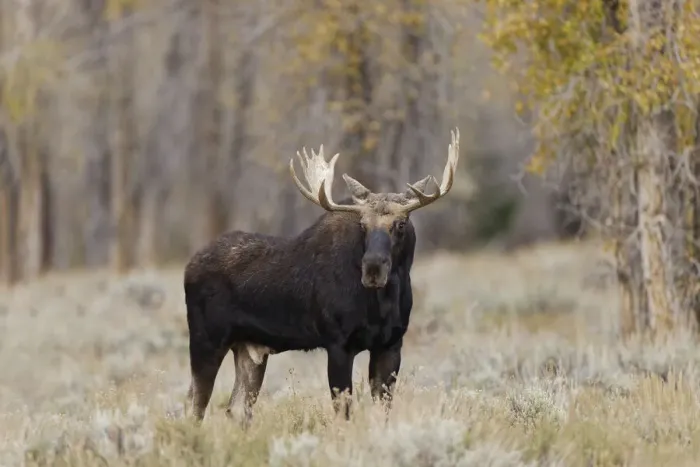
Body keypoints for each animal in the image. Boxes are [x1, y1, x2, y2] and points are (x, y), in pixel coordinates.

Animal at [184, 128, 461, 425]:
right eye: (363, 225)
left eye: (400, 224)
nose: (373, 268)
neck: (382, 302)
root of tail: (188, 267)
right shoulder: (338, 343)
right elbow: (343, 411)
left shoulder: (391, 344)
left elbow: (382, 411)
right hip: (206, 340)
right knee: (194, 405)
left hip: (249, 348)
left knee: (235, 409)